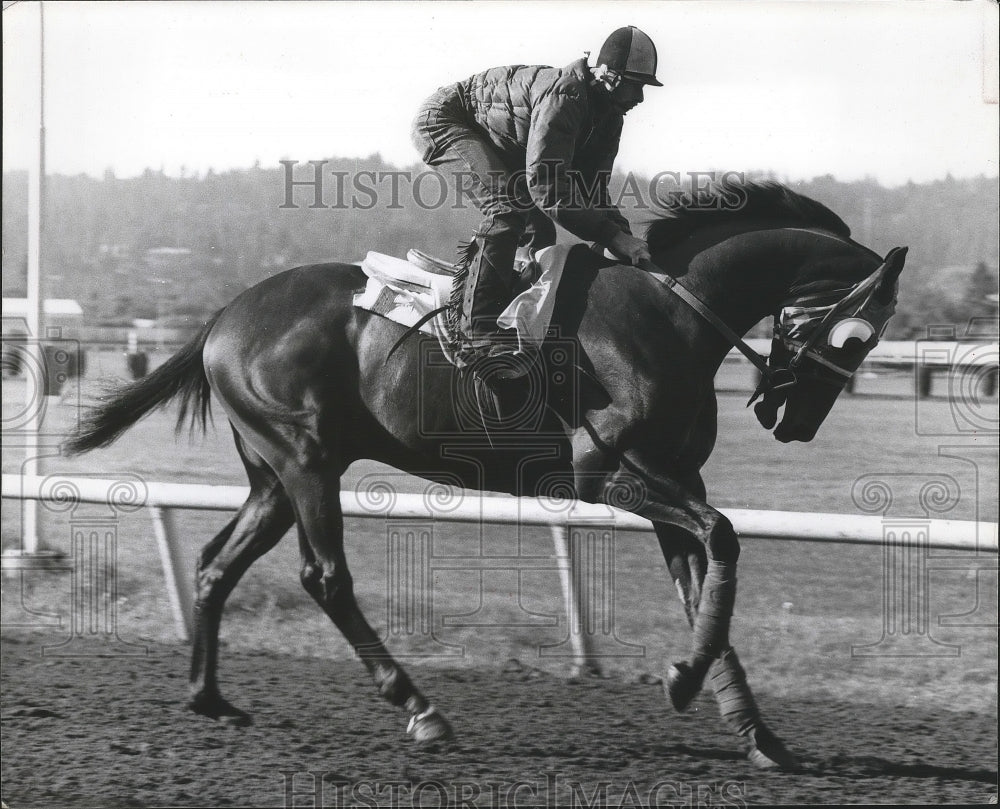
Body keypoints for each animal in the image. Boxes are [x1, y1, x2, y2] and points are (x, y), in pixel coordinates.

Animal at [62, 181, 908, 772]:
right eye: (857, 335)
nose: (794, 421)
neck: (672, 316)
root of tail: (223, 314)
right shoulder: (600, 473)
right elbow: (723, 538)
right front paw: (686, 679)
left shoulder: (674, 480)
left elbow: (706, 579)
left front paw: (752, 726)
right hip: (305, 461)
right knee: (324, 575)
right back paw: (419, 706)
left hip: (272, 474)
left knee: (215, 564)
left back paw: (208, 696)